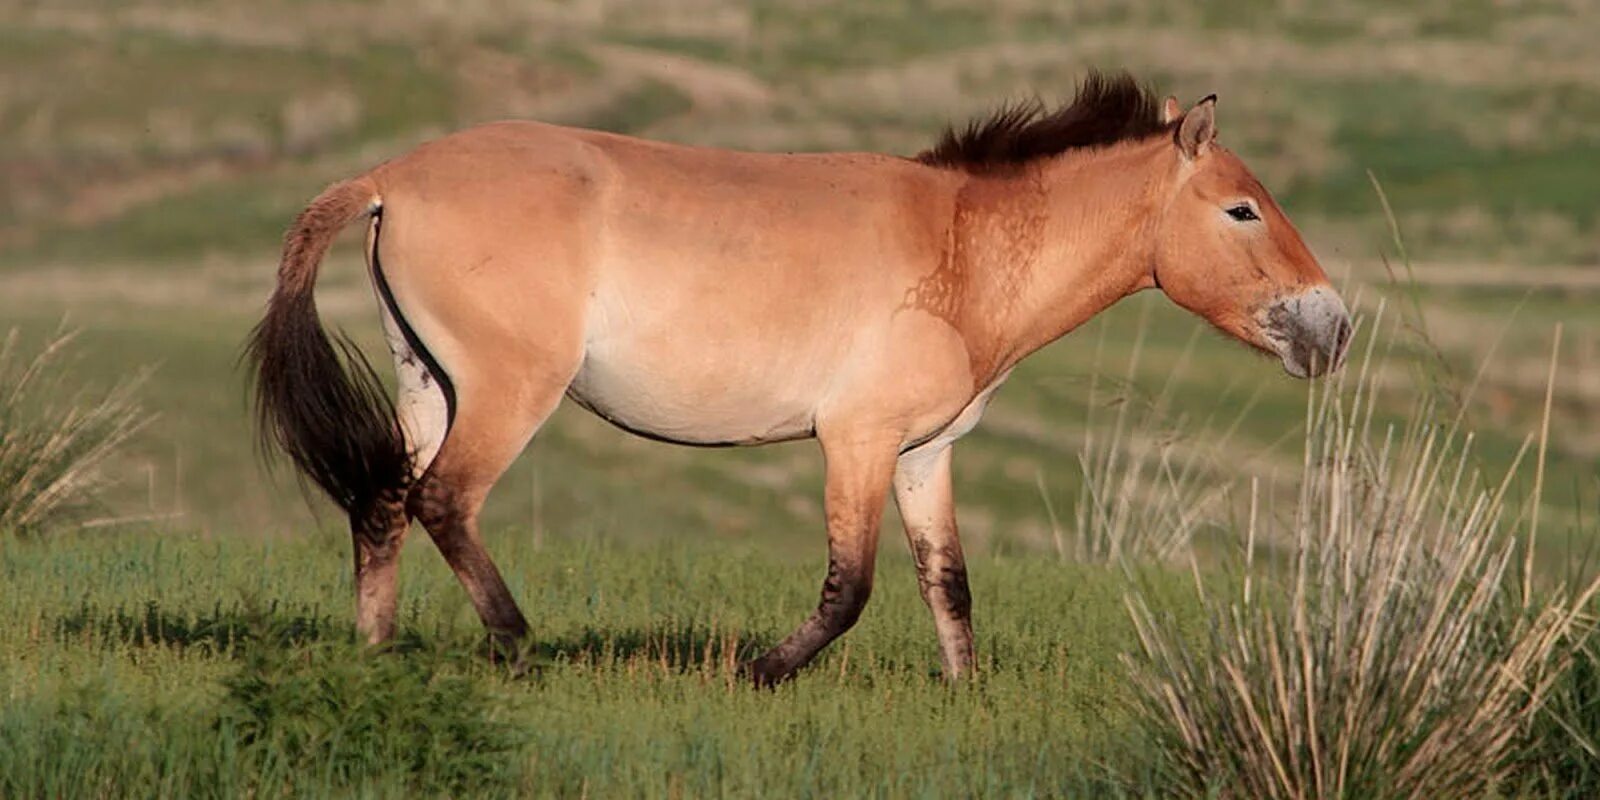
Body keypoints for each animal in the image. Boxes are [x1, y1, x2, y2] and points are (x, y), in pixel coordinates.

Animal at [249, 73, 1350, 688]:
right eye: (1243, 210)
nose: (1334, 326)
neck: (962, 246)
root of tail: (390, 176)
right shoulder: (856, 442)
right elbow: (850, 586)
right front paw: (760, 670)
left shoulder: (923, 455)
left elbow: (948, 584)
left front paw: (966, 695)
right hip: (508, 392)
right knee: (443, 500)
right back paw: (519, 647)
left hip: (427, 383)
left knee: (383, 503)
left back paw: (377, 652)